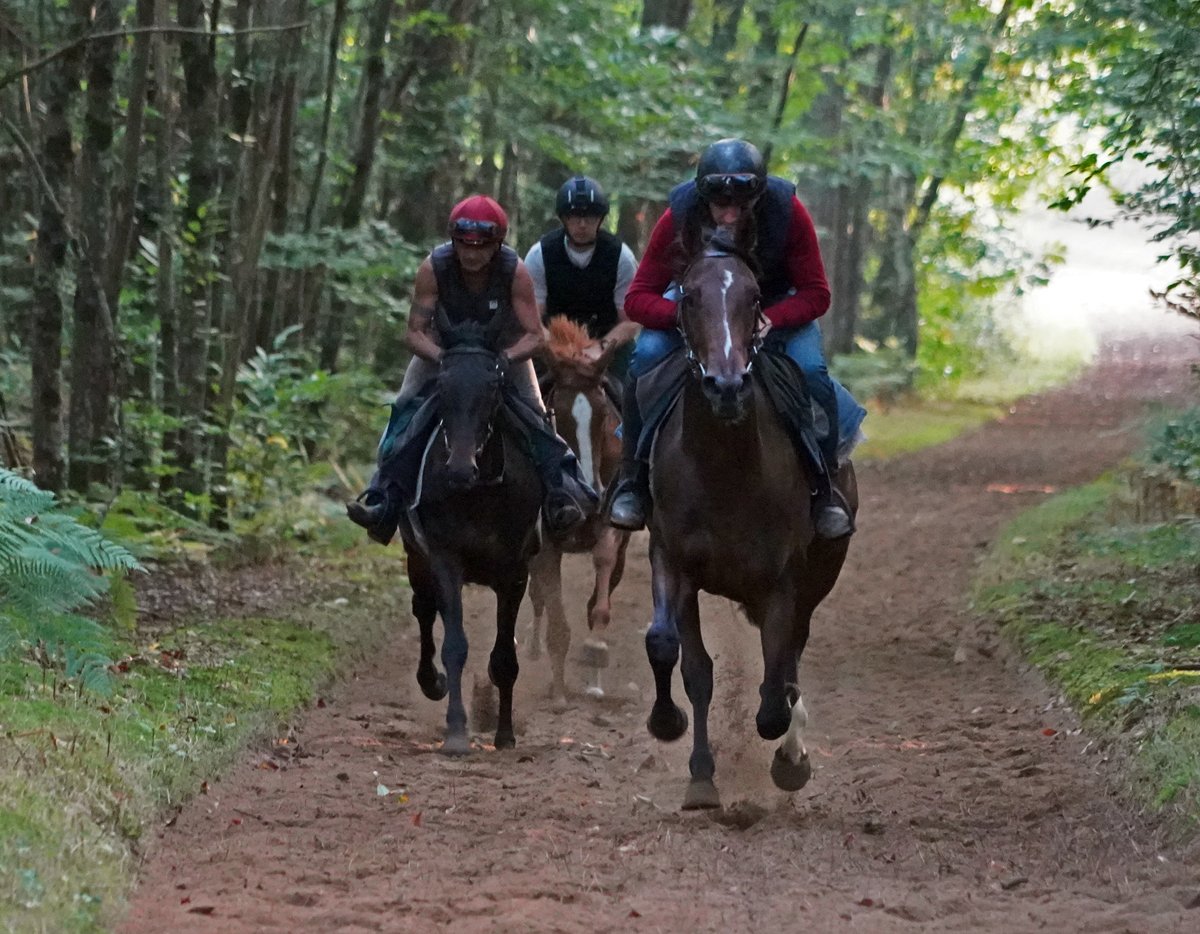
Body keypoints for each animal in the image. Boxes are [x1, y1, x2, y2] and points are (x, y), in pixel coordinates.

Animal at [397, 313, 543, 754]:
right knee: (424, 610)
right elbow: (455, 646)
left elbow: (505, 658)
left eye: (494, 385)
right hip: (416, 558)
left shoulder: (515, 570)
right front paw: (457, 732)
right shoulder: (445, 559)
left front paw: (505, 734)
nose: (460, 469)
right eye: (442, 385)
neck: (478, 491)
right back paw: (432, 683)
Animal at [526, 316, 630, 700]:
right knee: (537, 596)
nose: (590, 492)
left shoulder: (609, 518)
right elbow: (553, 610)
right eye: (559, 414)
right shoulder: (546, 536)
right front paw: (558, 691)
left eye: (603, 416)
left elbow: (603, 569)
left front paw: (596, 649)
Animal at [641, 235, 857, 809]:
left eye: (756, 297)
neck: (723, 468)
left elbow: (775, 691)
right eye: (689, 297)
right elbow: (678, 656)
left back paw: (790, 758)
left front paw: (785, 752)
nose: (727, 385)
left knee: (791, 663)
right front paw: (690, 760)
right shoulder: (672, 559)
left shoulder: (782, 579)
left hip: (817, 577)